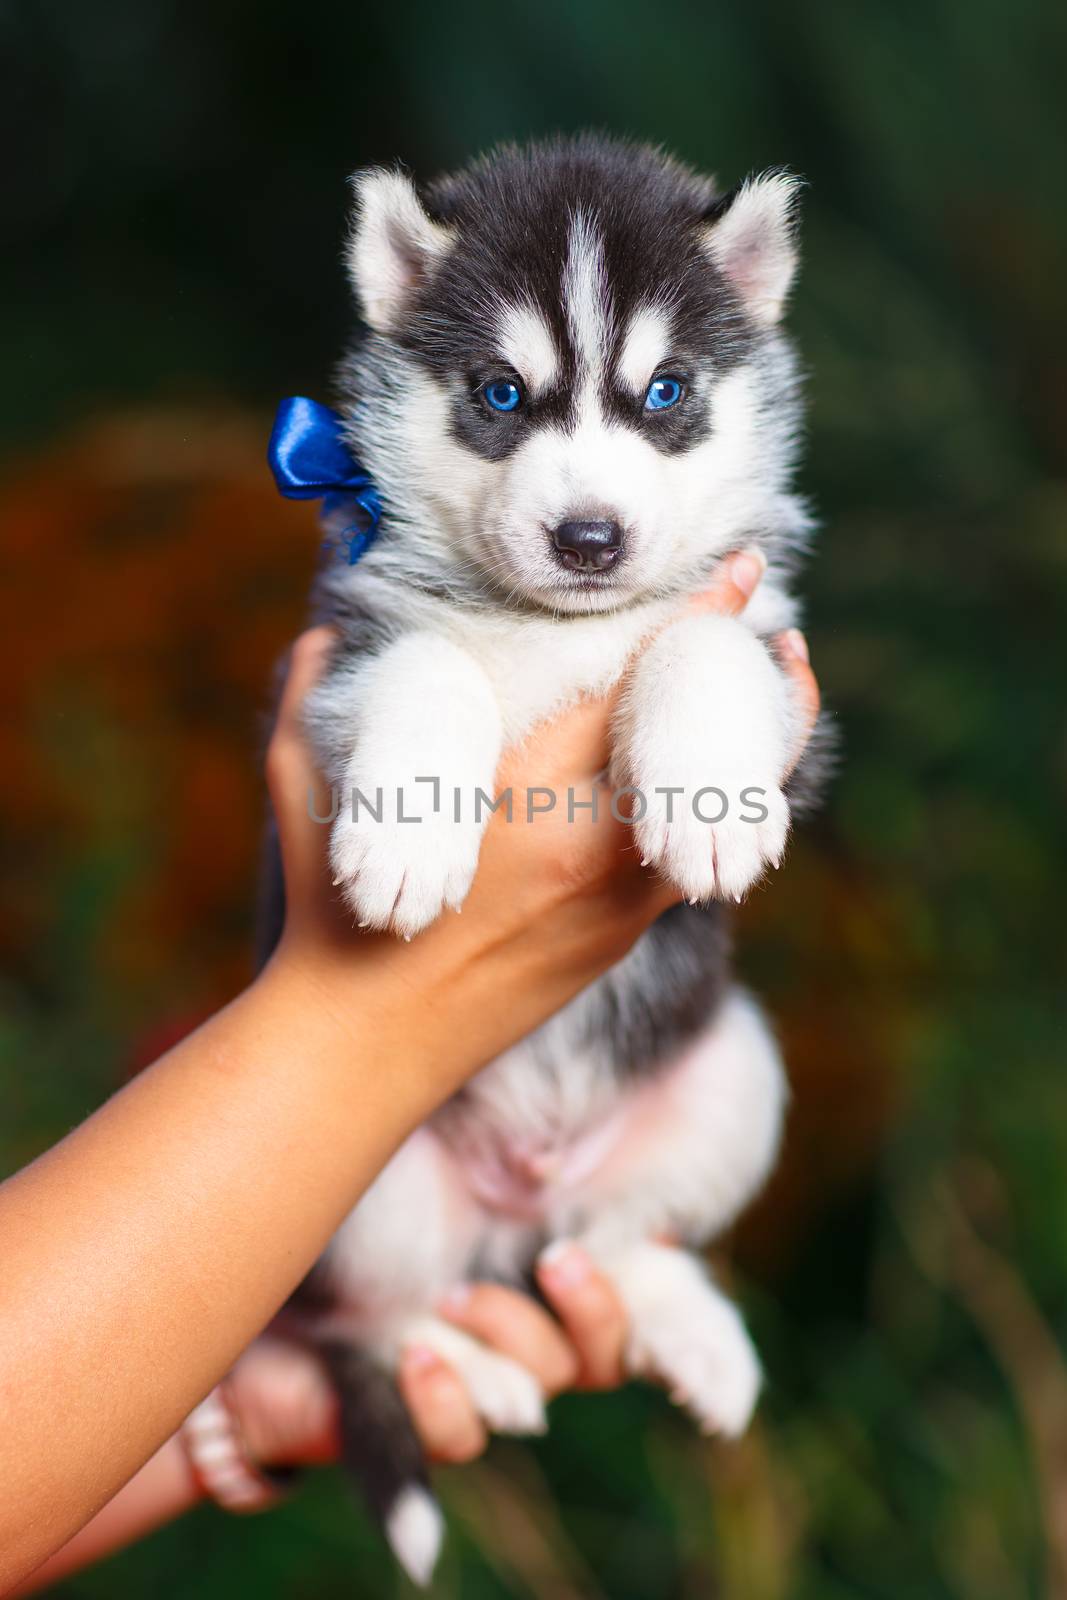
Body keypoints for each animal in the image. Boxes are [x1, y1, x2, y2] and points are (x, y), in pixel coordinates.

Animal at [262, 134, 831, 1574]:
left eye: (664, 393)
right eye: (500, 393)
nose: (588, 540)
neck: (557, 627)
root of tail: (518, 1201)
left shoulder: (787, 687)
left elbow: (696, 638)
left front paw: (701, 797)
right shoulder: (343, 650)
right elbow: (428, 665)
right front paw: (410, 833)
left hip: (732, 1070)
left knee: (610, 1246)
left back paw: (684, 1330)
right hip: (353, 1183)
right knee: (380, 1319)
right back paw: (464, 1367)